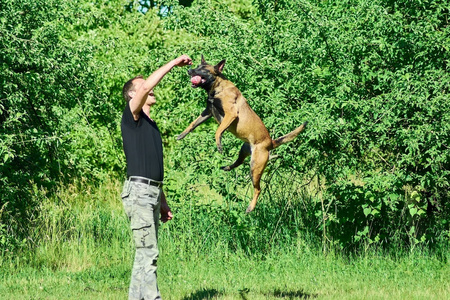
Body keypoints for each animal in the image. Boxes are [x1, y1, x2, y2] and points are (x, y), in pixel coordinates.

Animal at [178, 55, 308, 212]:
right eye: (197, 66)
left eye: (203, 69)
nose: (189, 70)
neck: (218, 87)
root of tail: (270, 143)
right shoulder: (208, 111)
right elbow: (193, 124)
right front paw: (182, 135)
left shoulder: (231, 114)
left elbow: (218, 131)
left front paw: (219, 144)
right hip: (244, 151)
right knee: (238, 162)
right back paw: (227, 167)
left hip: (255, 167)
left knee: (258, 189)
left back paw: (251, 207)